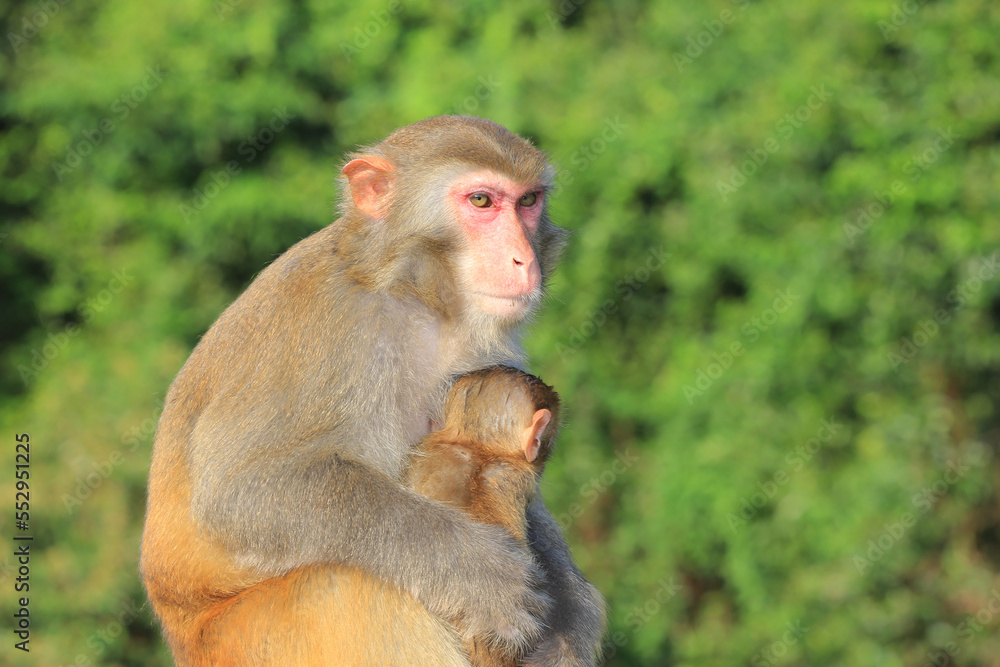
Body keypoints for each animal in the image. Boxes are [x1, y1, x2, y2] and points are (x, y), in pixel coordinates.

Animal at [141, 117, 604, 664]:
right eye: (482, 201)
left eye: (528, 201)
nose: (522, 260)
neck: (413, 295)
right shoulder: (332, 326)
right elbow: (238, 489)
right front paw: (479, 573)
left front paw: (567, 627)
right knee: (356, 586)